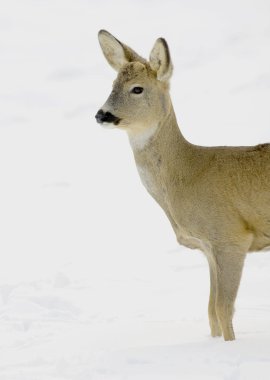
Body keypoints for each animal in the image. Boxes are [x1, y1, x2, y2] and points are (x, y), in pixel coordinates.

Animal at [95, 30, 270, 342]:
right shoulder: (208, 248)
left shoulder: (231, 237)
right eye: (113, 85)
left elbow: (223, 309)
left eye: (137, 89)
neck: (186, 173)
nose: (102, 115)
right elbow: (211, 310)